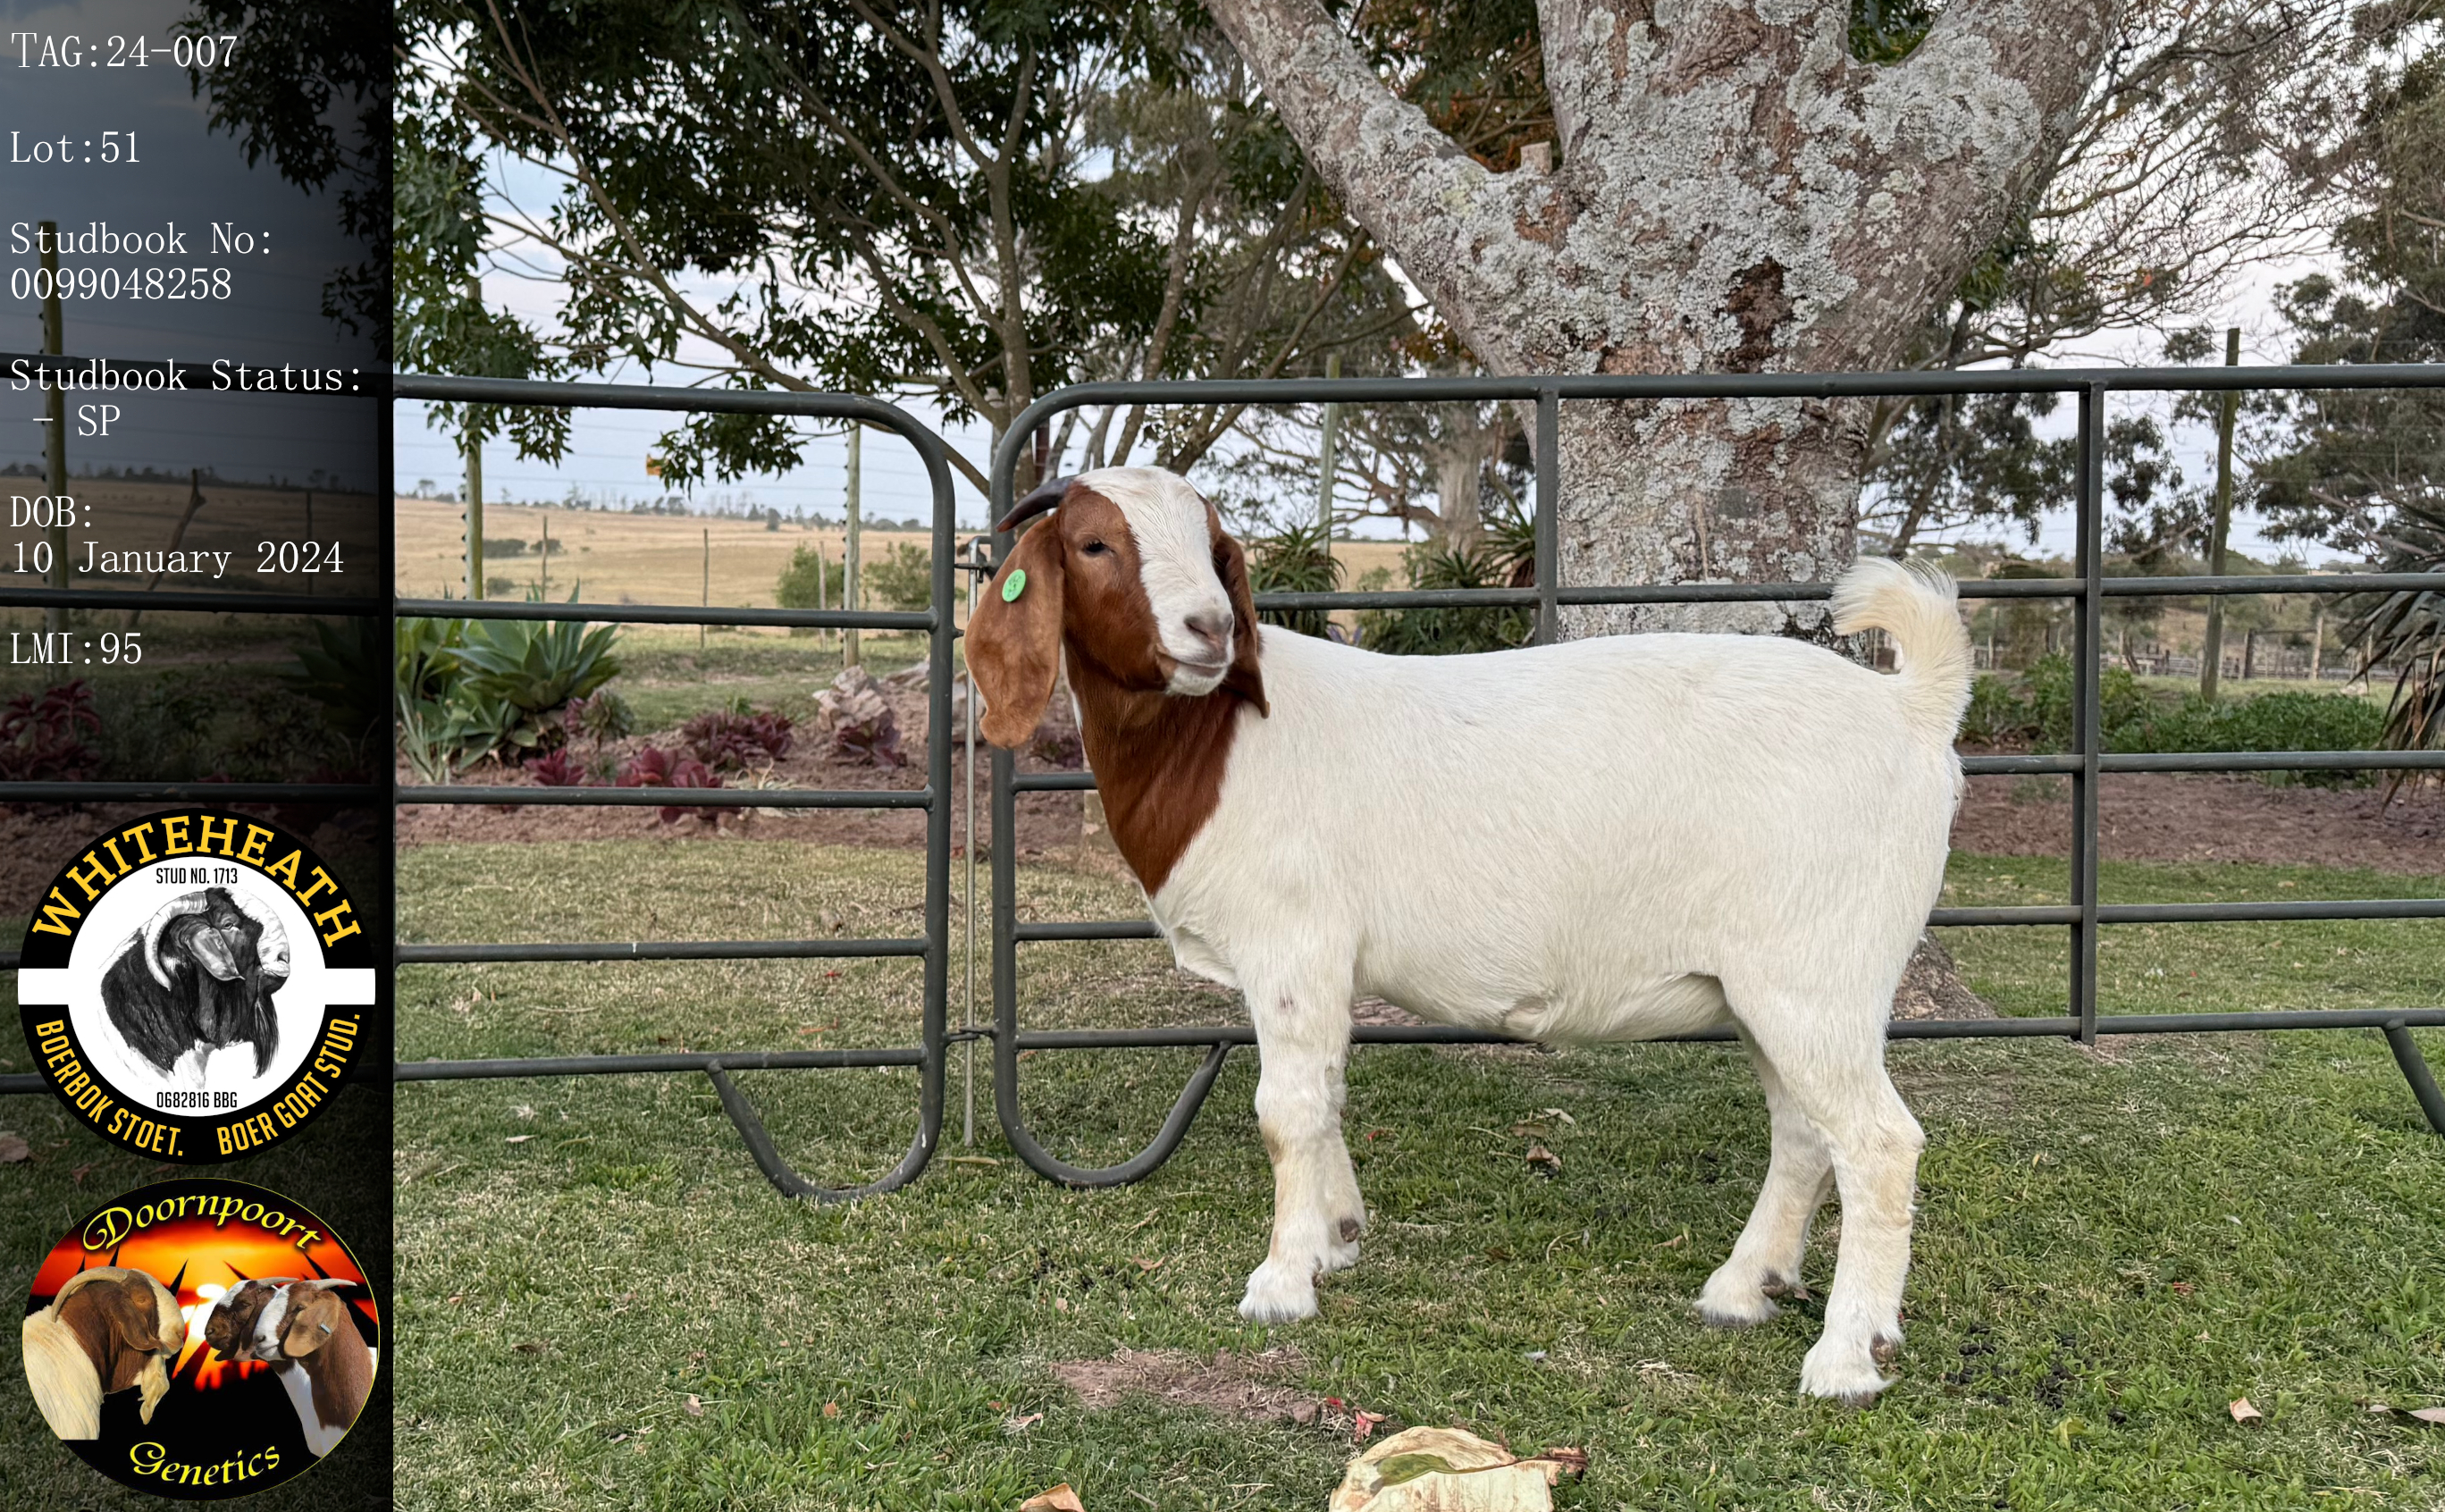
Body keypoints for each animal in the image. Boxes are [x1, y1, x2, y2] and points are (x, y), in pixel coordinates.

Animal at [966, 466, 1973, 1405]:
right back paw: (1743, 1287)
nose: (1210, 628)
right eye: (1094, 544)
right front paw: (1336, 1239)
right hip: (1777, 987)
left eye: (1214, 549)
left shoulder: (1293, 945)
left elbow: (1287, 1112)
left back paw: (1846, 1358)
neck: (1216, 739)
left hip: (1816, 975)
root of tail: (1910, 711)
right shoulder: (1318, 968)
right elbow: (1328, 1095)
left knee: (1879, 1143)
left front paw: (1281, 1285)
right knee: (1803, 1131)